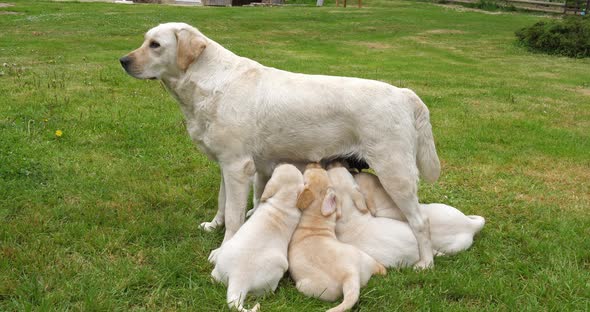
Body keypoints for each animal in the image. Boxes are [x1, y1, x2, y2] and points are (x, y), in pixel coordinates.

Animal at [288, 165, 388, 310]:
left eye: (306, 174)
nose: (314, 164)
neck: (316, 217)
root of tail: (350, 275)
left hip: (306, 286)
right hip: (364, 258)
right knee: (379, 268)